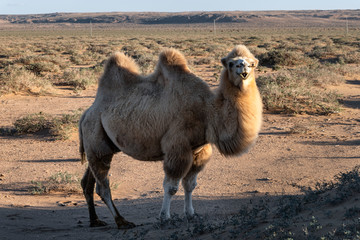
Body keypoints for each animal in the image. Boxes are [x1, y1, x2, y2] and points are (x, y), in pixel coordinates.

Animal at [79, 45, 262, 229]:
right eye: (231, 63)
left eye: (252, 63)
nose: (243, 68)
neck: (207, 111)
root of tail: (87, 113)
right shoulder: (177, 146)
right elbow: (171, 187)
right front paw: (165, 217)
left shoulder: (199, 151)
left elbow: (190, 185)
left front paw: (191, 214)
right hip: (95, 136)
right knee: (102, 186)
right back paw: (121, 221)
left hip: (101, 145)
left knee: (88, 181)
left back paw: (95, 220)